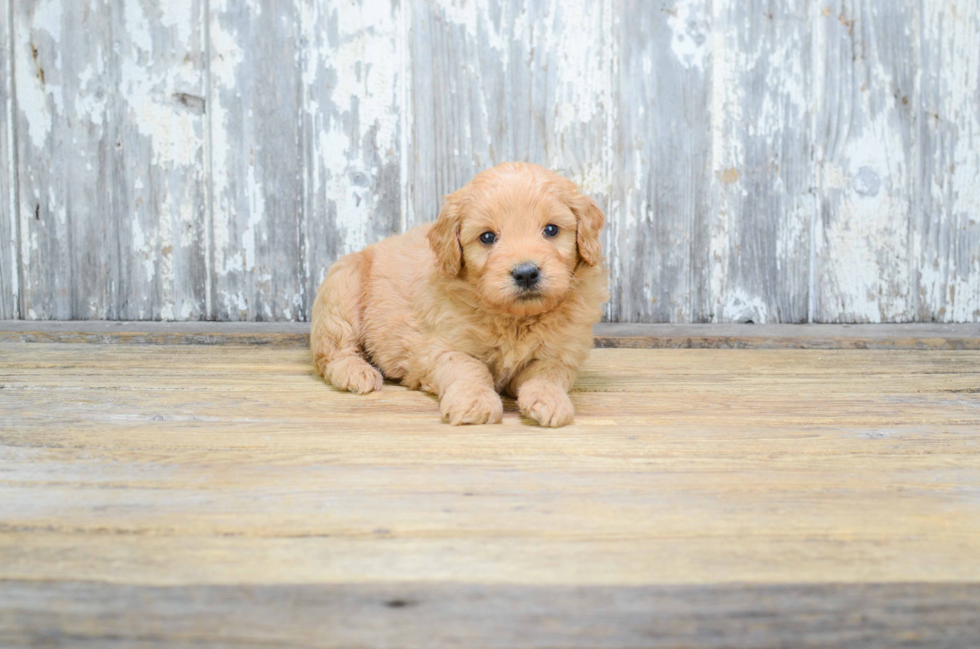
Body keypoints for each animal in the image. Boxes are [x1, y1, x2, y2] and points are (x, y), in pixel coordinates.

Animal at [312, 162, 604, 426]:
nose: (526, 273)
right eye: (487, 237)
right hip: (342, 287)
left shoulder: (561, 353)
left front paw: (549, 399)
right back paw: (356, 372)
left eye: (551, 229)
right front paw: (475, 402)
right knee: (332, 351)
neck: (515, 319)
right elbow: (469, 367)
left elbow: (548, 373)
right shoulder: (440, 346)